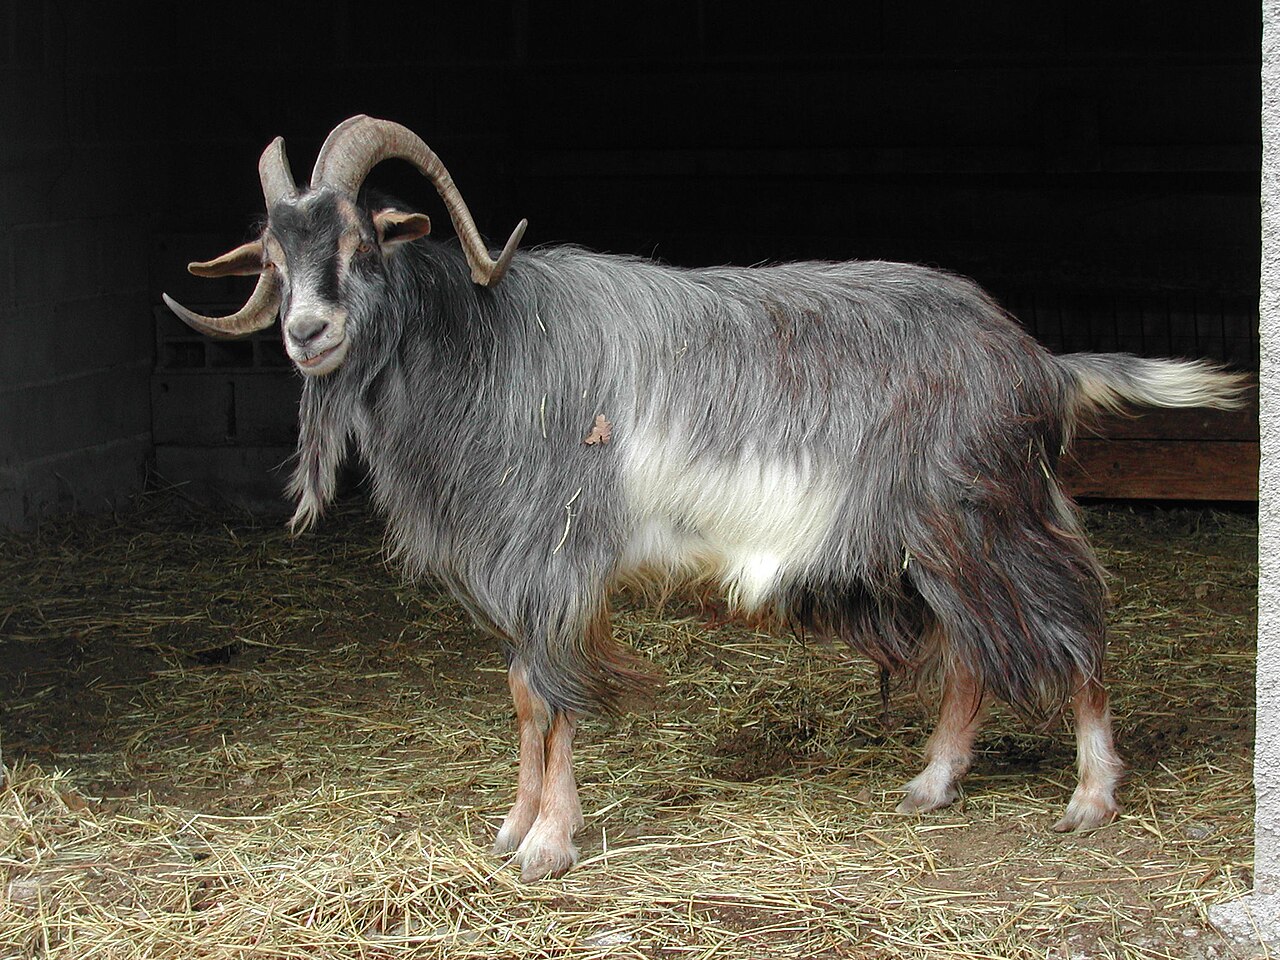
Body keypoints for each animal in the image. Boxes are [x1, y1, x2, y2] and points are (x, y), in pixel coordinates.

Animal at [164, 115, 1246, 881]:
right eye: (274, 258)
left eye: (360, 243)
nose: (305, 334)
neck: (486, 348)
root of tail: (1038, 362)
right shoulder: (518, 575)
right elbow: (522, 696)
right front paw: (512, 825)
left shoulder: (558, 561)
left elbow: (556, 698)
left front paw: (549, 845)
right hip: (936, 541)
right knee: (976, 656)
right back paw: (932, 784)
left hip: (995, 518)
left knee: (1077, 631)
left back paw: (1091, 799)